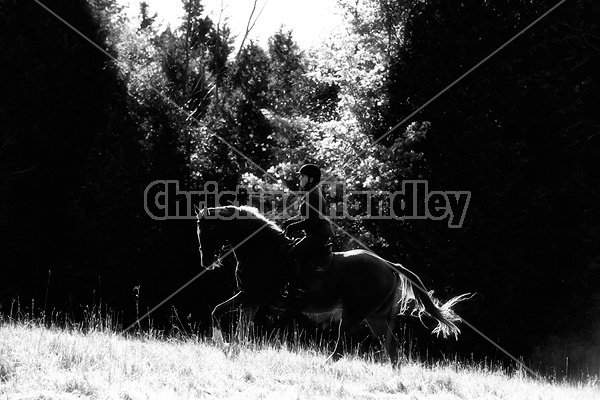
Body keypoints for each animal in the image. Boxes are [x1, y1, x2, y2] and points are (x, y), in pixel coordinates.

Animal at [197, 205, 468, 364]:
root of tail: (387, 264)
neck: (261, 249)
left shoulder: (250, 296)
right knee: (391, 348)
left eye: (207, 229)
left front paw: (222, 344)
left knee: (341, 348)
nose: (205, 261)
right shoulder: (249, 298)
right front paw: (231, 348)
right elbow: (234, 324)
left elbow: (221, 315)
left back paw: (323, 366)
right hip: (376, 316)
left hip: (355, 313)